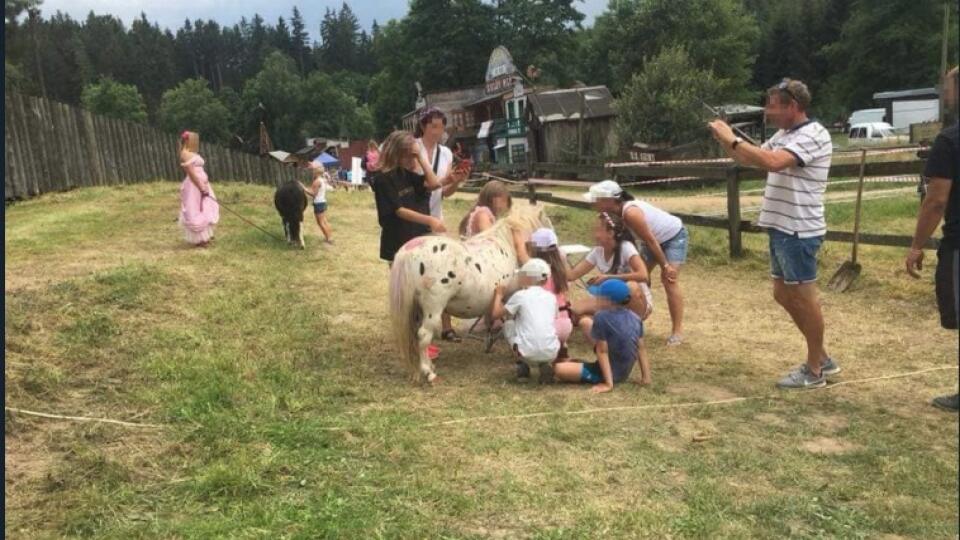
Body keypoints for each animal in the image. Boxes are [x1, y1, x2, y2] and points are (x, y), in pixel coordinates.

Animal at [390, 204, 556, 384]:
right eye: (547, 222)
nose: (555, 245)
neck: (509, 244)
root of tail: (411, 249)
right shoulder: (510, 298)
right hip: (433, 308)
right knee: (423, 335)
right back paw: (429, 373)